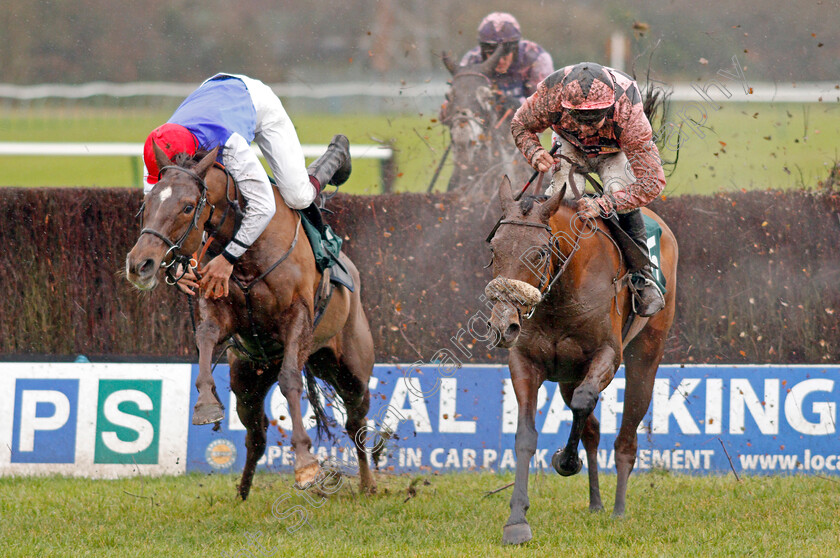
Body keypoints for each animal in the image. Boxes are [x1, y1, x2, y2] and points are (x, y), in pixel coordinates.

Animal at [124, 144, 374, 498]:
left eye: (187, 207)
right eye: (147, 205)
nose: (139, 264)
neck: (248, 251)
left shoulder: (297, 318)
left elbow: (290, 381)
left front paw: (306, 465)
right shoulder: (223, 317)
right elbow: (204, 337)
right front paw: (205, 404)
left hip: (350, 367)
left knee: (356, 422)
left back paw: (368, 484)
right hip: (248, 379)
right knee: (256, 436)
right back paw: (241, 495)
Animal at [486, 176, 676, 548]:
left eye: (539, 253)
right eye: (494, 249)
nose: (504, 325)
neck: (561, 295)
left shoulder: (608, 355)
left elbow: (585, 401)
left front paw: (565, 461)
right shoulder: (526, 362)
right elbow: (526, 435)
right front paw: (516, 521)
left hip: (646, 354)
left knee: (626, 437)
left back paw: (618, 509)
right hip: (568, 375)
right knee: (592, 429)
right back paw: (596, 503)